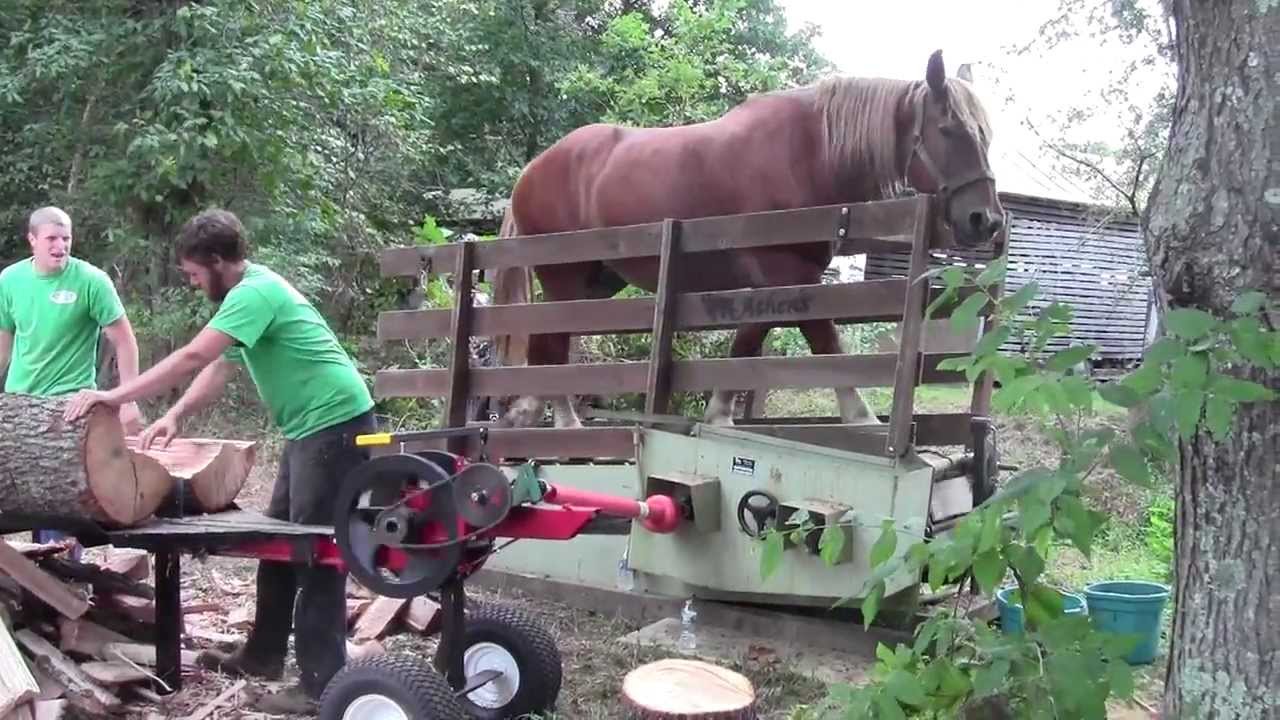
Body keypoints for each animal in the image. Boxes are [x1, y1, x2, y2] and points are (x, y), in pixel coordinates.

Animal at [488, 50, 1004, 430]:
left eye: (986, 135)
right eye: (949, 130)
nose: (986, 220)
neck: (808, 153)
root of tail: (532, 169)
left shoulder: (779, 279)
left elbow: (747, 342)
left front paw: (719, 416)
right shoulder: (786, 273)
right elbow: (825, 343)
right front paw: (862, 421)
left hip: (596, 282)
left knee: (550, 346)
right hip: (563, 277)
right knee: (553, 346)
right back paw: (564, 423)